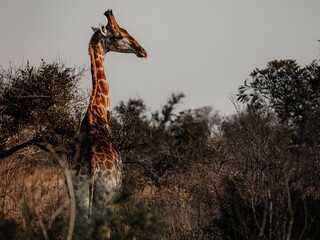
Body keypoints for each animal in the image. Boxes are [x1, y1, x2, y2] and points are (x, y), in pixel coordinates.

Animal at [68, 8, 147, 232]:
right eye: (118, 35)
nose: (142, 50)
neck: (97, 114)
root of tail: (92, 167)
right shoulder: (118, 188)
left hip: (80, 196)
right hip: (105, 197)